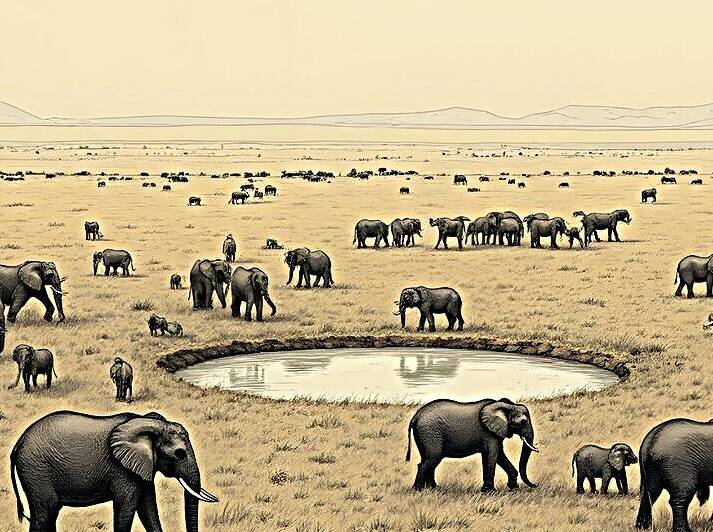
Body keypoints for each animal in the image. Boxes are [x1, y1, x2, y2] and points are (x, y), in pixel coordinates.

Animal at [10, 410, 217, 532]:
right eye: (180, 454)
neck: (149, 423)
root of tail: (18, 443)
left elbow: (148, 509)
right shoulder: (121, 471)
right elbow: (127, 507)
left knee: (49, 515)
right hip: (36, 471)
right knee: (44, 514)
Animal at [405, 398, 538, 491]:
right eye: (523, 422)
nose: (536, 485)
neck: (506, 405)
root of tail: (415, 417)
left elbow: (499, 456)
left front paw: (513, 487)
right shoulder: (488, 433)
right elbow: (492, 456)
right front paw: (490, 492)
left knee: (429, 461)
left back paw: (433, 489)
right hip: (430, 434)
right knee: (430, 460)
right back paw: (418, 490)